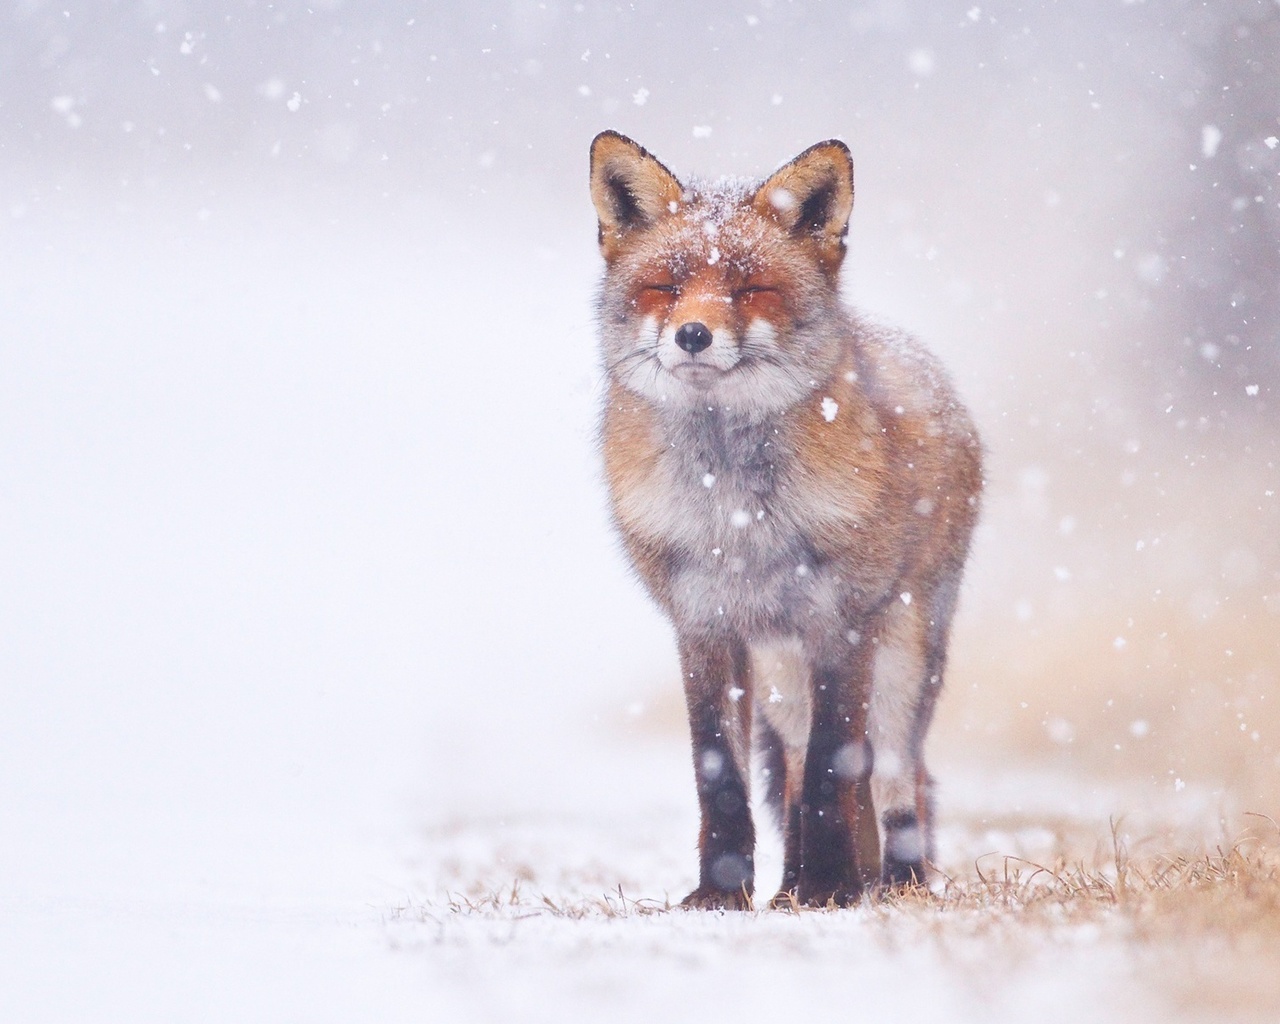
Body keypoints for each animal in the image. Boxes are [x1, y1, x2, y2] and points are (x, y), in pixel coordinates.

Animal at [588, 131, 977, 906]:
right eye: (666, 287)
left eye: (750, 290)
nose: (693, 334)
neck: (734, 514)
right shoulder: (704, 627)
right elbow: (723, 774)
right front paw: (721, 894)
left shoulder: (840, 623)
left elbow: (836, 768)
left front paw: (830, 888)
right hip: (779, 673)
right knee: (795, 766)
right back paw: (792, 884)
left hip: (902, 654)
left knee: (897, 773)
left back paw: (893, 882)